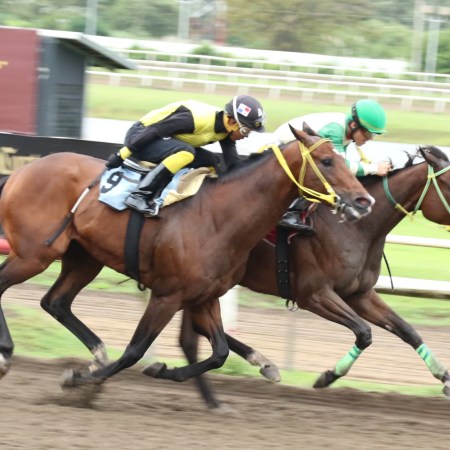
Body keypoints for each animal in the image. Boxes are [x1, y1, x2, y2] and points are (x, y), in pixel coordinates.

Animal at [0, 124, 373, 389]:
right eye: (327, 161)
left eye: (345, 159)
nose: (363, 201)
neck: (218, 216)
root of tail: (20, 172)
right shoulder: (168, 294)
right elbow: (135, 350)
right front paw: (79, 380)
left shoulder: (205, 295)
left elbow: (219, 352)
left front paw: (163, 370)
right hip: (36, 253)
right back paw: (9, 354)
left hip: (84, 257)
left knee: (56, 302)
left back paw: (95, 353)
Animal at [177, 145, 450, 408]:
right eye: (448, 182)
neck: (357, 228)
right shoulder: (314, 295)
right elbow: (364, 332)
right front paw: (328, 376)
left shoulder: (360, 294)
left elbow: (407, 330)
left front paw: (445, 378)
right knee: (197, 336)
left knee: (195, 336)